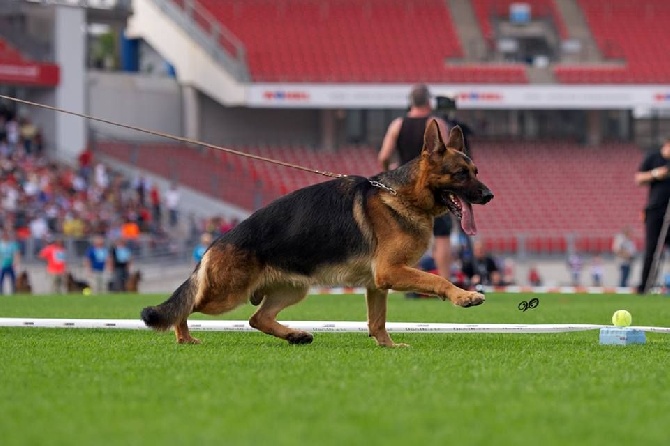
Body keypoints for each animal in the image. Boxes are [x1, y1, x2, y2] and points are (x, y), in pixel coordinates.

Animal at [140, 122, 494, 348]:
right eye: (460, 174)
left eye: (476, 172)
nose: (490, 196)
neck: (403, 195)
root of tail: (216, 242)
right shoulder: (391, 272)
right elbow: (437, 279)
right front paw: (464, 296)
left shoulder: (377, 283)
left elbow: (377, 321)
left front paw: (388, 346)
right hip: (227, 296)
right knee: (186, 307)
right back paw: (185, 337)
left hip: (294, 290)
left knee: (256, 318)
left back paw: (295, 335)